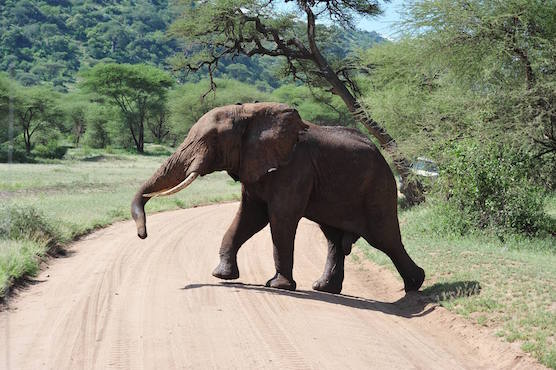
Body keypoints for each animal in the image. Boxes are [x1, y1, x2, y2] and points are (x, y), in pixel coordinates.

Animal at [131, 102, 426, 294]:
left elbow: (279, 219)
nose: (142, 235)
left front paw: (278, 286)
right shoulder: (255, 166)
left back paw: (415, 285)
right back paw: (324, 289)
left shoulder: (295, 167)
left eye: (211, 139)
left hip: (379, 187)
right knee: (333, 238)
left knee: (384, 238)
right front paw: (222, 275)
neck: (250, 111)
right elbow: (249, 217)